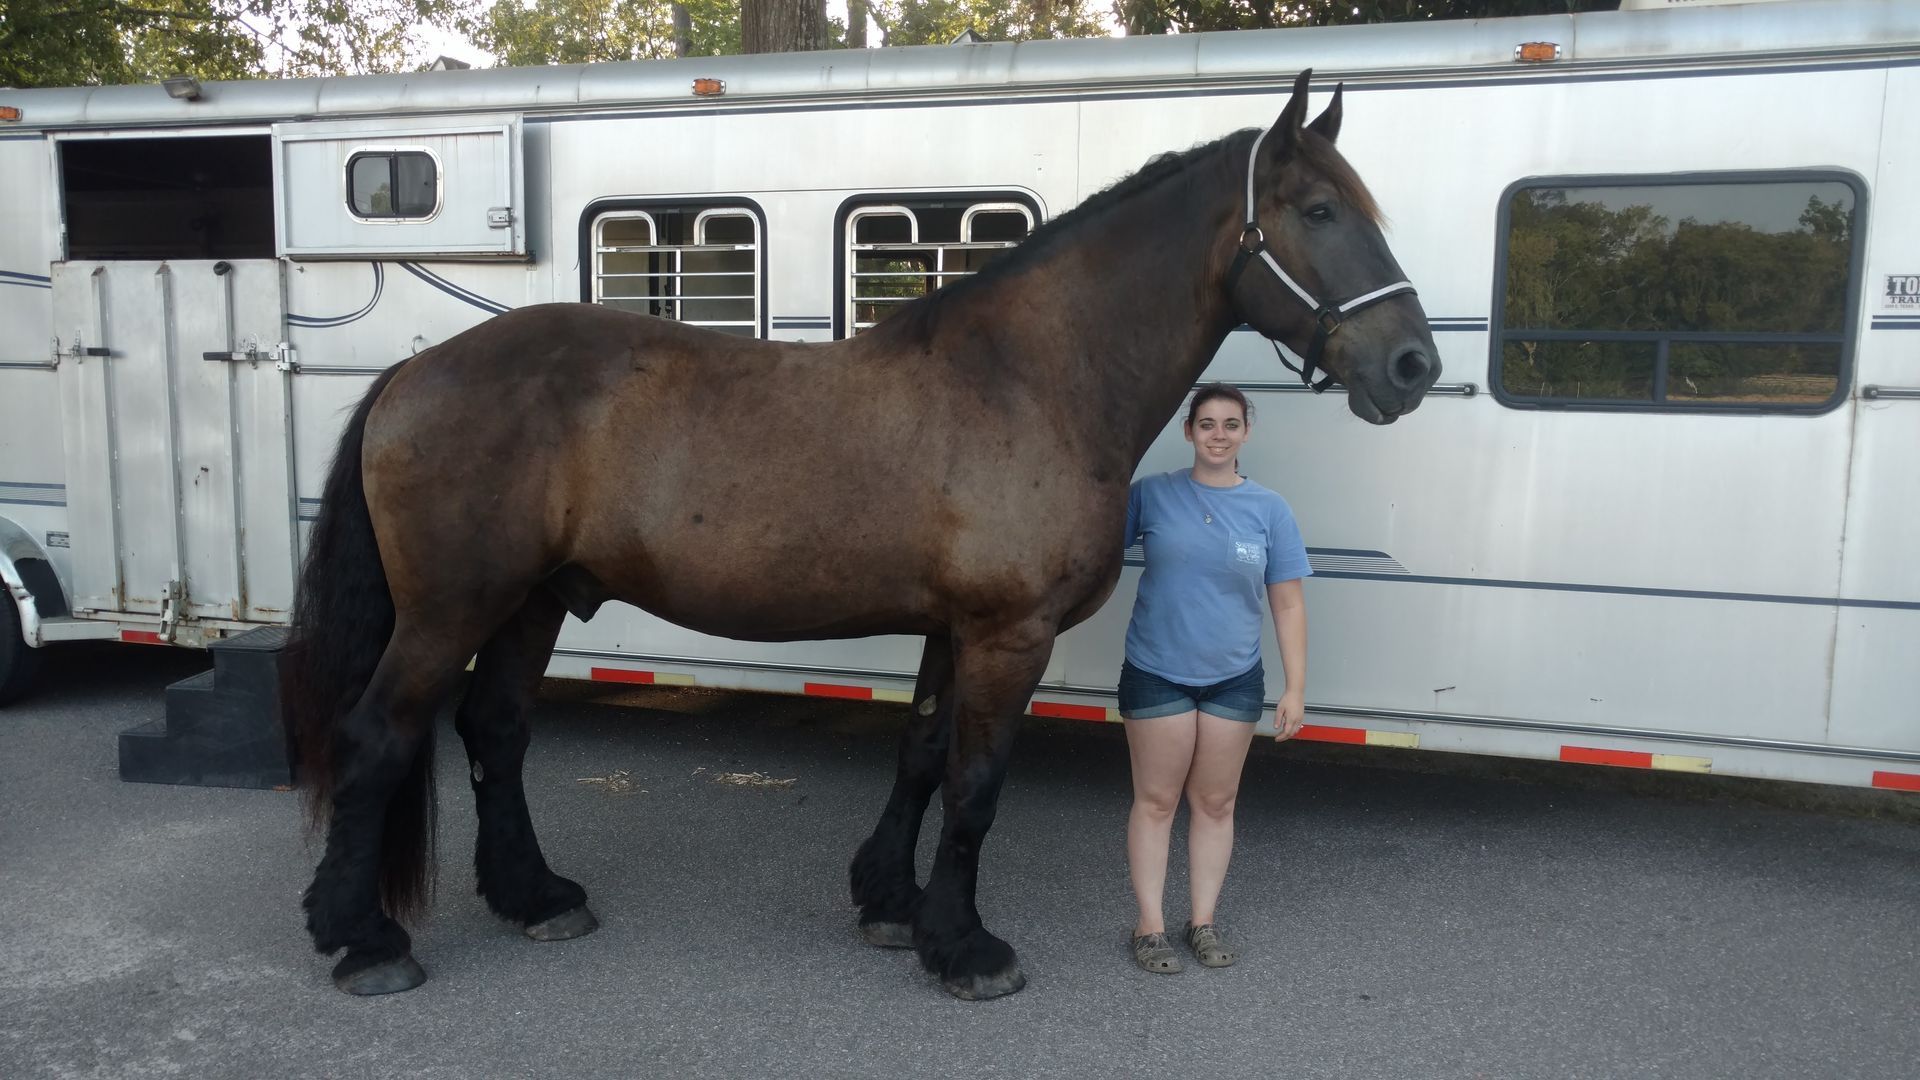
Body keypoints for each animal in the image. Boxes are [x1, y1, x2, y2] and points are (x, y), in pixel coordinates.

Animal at [282, 69, 1441, 1000]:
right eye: (1319, 209)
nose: (1412, 367)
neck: (1032, 378)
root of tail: (414, 372)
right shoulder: (1009, 635)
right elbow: (975, 785)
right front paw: (966, 948)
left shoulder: (954, 629)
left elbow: (923, 756)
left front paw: (889, 904)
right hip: (450, 610)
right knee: (381, 735)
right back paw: (364, 941)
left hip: (532, 601)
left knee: (497, 733)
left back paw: (535, 897)